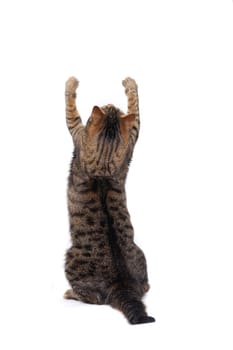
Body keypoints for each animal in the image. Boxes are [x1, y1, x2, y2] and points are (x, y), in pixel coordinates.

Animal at [63, 76, 155, 326]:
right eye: (110, 108)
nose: (110, 104)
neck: (104, 166)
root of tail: (121, 285)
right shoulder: (132, 137)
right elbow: (136, 109)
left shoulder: (77, 131)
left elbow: (70, 107)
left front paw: (72, 83)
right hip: (141, 254)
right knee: (144, 287)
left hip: (70, 257)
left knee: (91, 298)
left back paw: (69, 292)